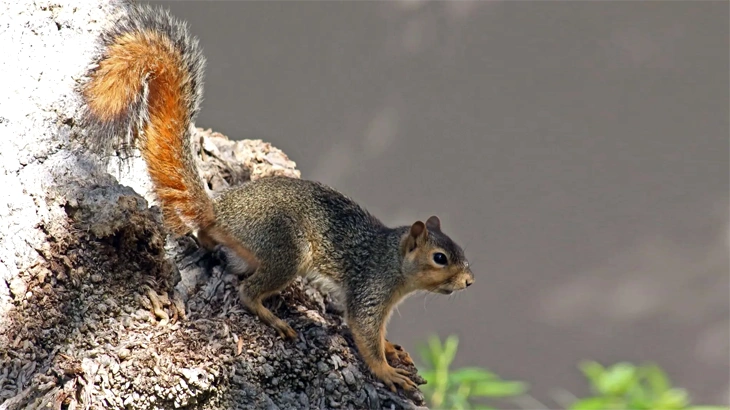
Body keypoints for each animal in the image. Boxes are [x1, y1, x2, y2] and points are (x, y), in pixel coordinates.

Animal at [81, 2, 474, 392]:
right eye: (440, 258)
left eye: (459, 251)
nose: (470, 281)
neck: (393, 260)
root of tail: (219, 212)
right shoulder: (370, 289)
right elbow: (364, 334)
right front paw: (386, 370)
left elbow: (379, 336)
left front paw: (391, 348)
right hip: (287, 250)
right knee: (248, 291)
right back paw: (272, 316)